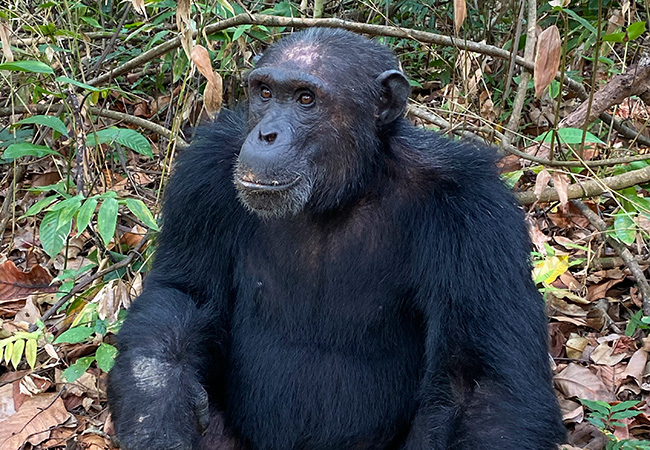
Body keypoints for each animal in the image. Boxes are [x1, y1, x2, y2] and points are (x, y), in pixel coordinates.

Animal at [106, 29, 560, 450]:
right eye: (265, 93)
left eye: (306, 99)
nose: (267, 134)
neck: (342, 194)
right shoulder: (203, 179)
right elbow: (184, 293)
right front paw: (159, 420)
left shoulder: (476, 215)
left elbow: (483, 383)